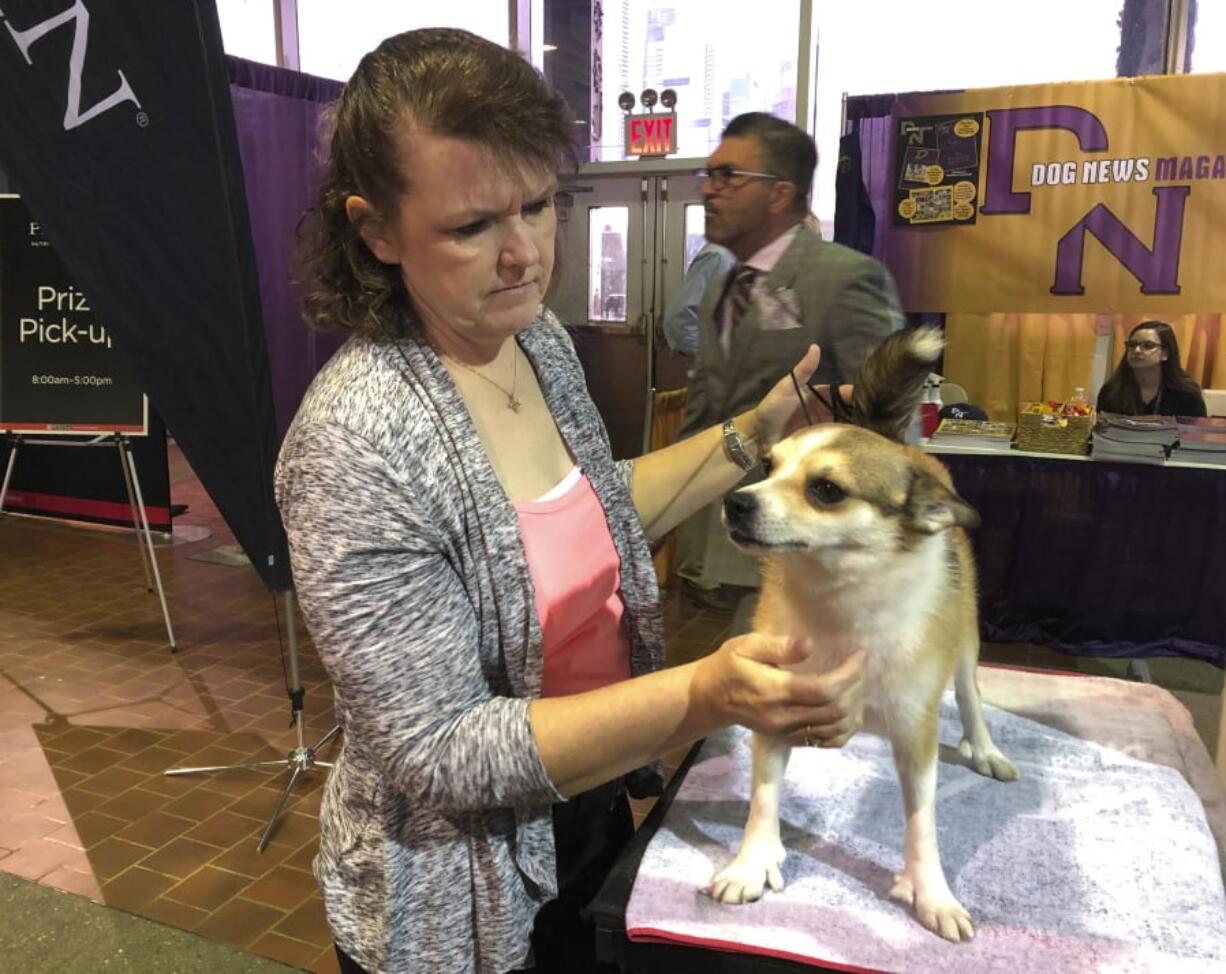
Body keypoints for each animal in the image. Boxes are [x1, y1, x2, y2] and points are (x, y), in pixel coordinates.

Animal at [711, 326, 1015, 942]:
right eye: (767, 465)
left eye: (826, 489)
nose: (736, 502)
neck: (838, 600)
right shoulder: (769, 708)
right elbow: (763, 796)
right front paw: (753, 861)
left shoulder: (916, 736)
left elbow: (922, 821)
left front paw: (930, 892)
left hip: (966, 638)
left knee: (971, 694)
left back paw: (985, 747)